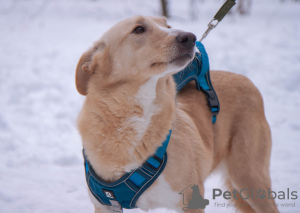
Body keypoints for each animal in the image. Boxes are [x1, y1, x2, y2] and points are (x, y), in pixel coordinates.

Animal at [75, 15, 278, 213]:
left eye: (168, 25)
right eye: (139, 29)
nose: (190, 37)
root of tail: (246, 80)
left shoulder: (192, 201)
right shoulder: (104, 206)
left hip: (249, 178)